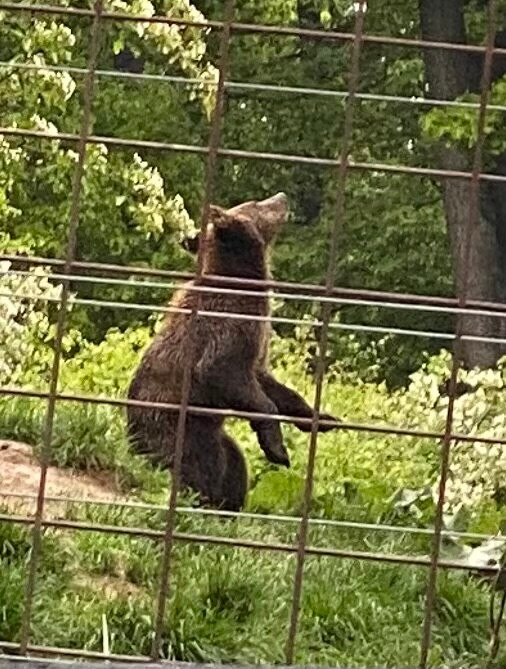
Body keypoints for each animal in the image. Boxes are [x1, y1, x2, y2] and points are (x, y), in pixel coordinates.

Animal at [126, 192, 339, 511]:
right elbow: (224, 373)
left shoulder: (257, 343)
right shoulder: (227, 329)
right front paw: (278, 449)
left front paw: (321, 418)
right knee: (198, 469)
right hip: (182, 431)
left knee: (235, 465)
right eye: (256, 204)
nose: (282, 197)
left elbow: (271, 384)